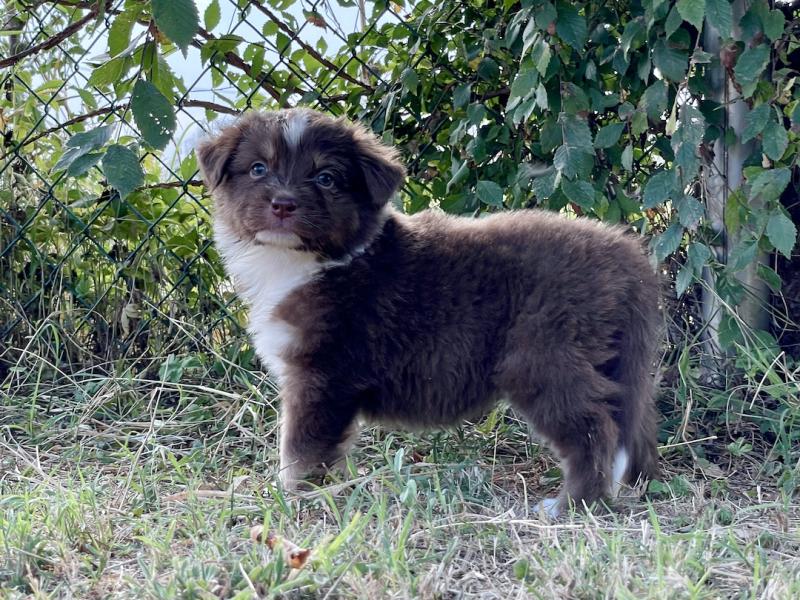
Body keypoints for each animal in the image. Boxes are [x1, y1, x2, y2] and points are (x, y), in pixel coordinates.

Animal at [197, 109, 660, 516]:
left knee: (593, 428)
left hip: (543, 359)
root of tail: (624, 252)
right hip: (613, 362)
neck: (310, 262)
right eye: (258, 168)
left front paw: (290, 497)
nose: (283, 204)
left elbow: (300, 448)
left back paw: (572, 504)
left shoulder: (322, 375)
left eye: (325, 178)